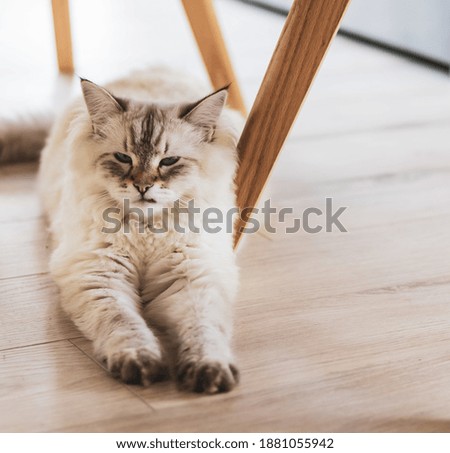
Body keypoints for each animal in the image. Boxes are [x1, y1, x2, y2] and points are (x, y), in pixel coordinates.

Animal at [8, 67, 243, 392]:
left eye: (169, 161)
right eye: (123, 158)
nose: (142, 187)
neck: (145, 231)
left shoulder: (192, 277)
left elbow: (204, 330)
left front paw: (209, 371)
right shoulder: (100, 275)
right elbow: (124, 324)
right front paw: (140, 363)